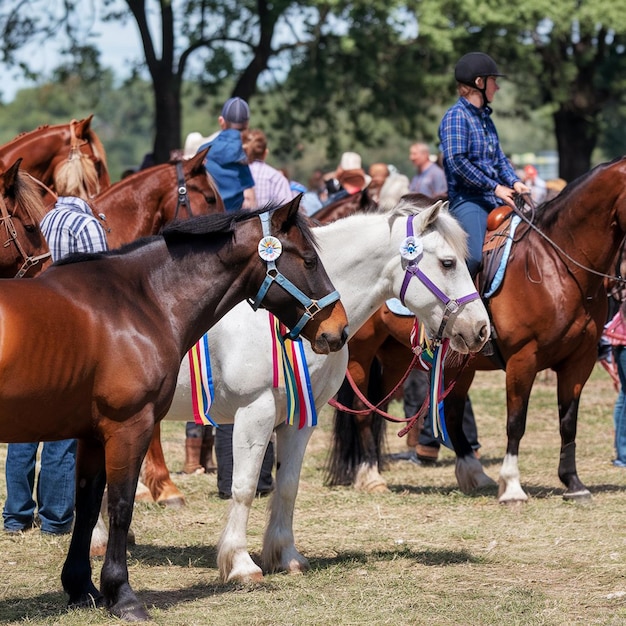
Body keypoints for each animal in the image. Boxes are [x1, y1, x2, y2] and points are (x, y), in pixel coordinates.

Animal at [0, 200, 348, 620]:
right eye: (310, 260)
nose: (339, 329)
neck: (137, 304)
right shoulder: (129, 426)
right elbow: (121, 506)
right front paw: (123, 595)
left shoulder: (93, 434)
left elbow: (88, 505)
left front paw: (81, 587)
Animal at [91, 197, 488, 576]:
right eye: (449, 263)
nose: (481, 329)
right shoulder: (255, 412)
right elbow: (244, 486)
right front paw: (240, 563)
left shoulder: (299, 419)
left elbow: (287, 486)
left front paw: (285, 556)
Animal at [326, 156, 626, 502]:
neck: (556, 266)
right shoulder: (523, 359)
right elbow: (516, 422)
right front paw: (512, 486)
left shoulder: (580, 360)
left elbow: (568, 422)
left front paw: (573, 483)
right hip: (363, 352)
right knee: (362, 409)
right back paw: (370, 475)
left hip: (401, 357)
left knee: (407, 410)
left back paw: (472, 472)